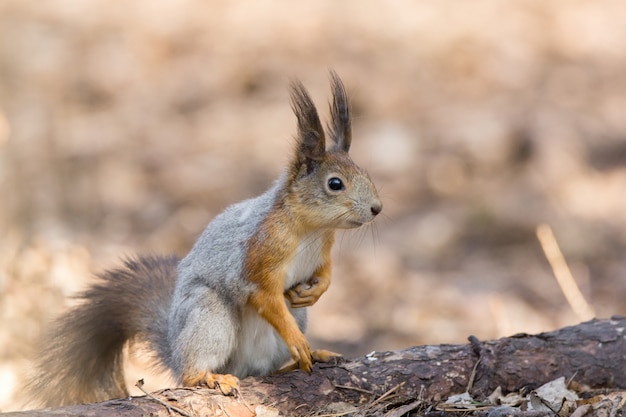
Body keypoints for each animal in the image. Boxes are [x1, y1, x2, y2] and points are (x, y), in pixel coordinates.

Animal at [28, 72, 380, 406]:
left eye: (366, 173)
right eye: (335, 184)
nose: (377, 208)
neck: (313, 231)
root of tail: (175, 347)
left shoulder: (323, 251)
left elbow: (325, 273)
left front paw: (316, 291)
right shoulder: (259, 256)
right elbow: (264, 296)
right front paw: (297, 340)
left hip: (287, 325)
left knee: (266, 370)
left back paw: (304, 360)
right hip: (208, 315)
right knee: (193, 372)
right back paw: (211, 377)